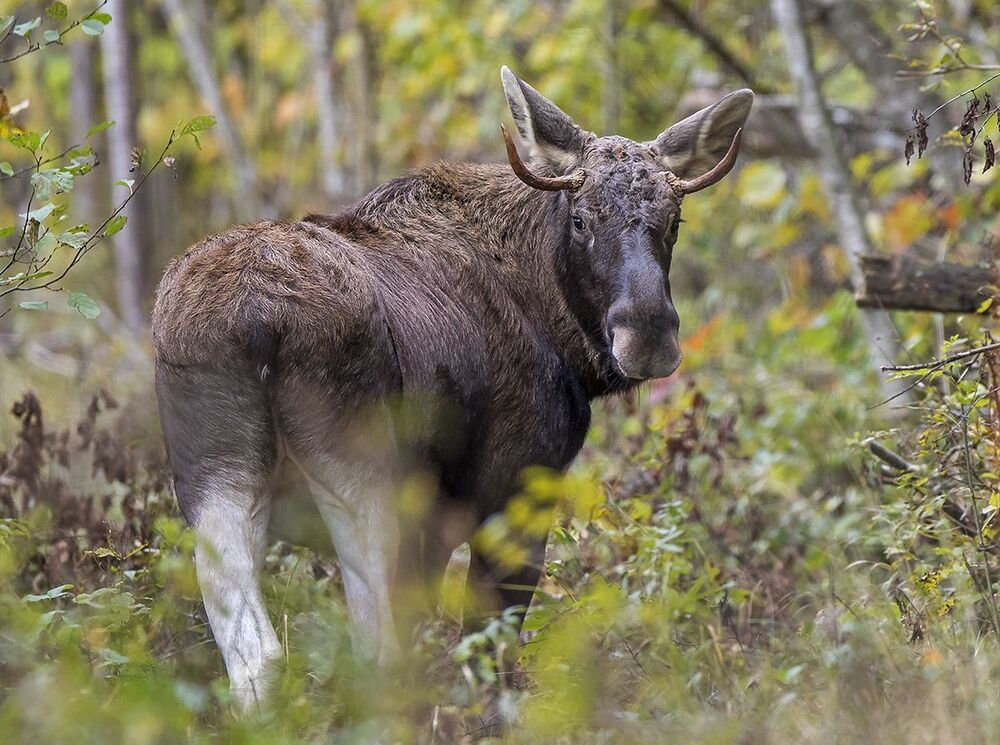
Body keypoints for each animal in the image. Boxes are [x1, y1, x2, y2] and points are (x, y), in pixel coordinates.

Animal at [152, 66, 753, 710]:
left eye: (674, 221)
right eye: (580, 218)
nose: (648, 334)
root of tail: (257, 323)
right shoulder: (511, 492)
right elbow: (487, 647)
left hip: (215, 480)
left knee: (256, 659)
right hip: (364, 477)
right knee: (374, 652)